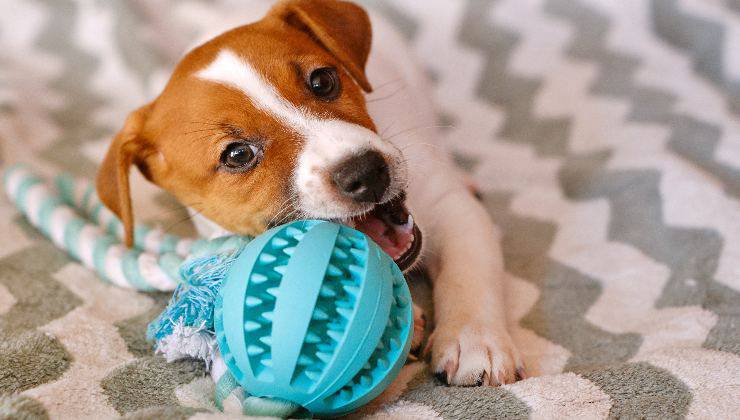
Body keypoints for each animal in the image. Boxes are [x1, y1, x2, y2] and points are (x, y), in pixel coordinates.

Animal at [97, 0, 528, 386]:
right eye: (237, 155)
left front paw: (474, 341)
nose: (367, 172)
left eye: (322, 81)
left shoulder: (451, 209)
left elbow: (468, 273)